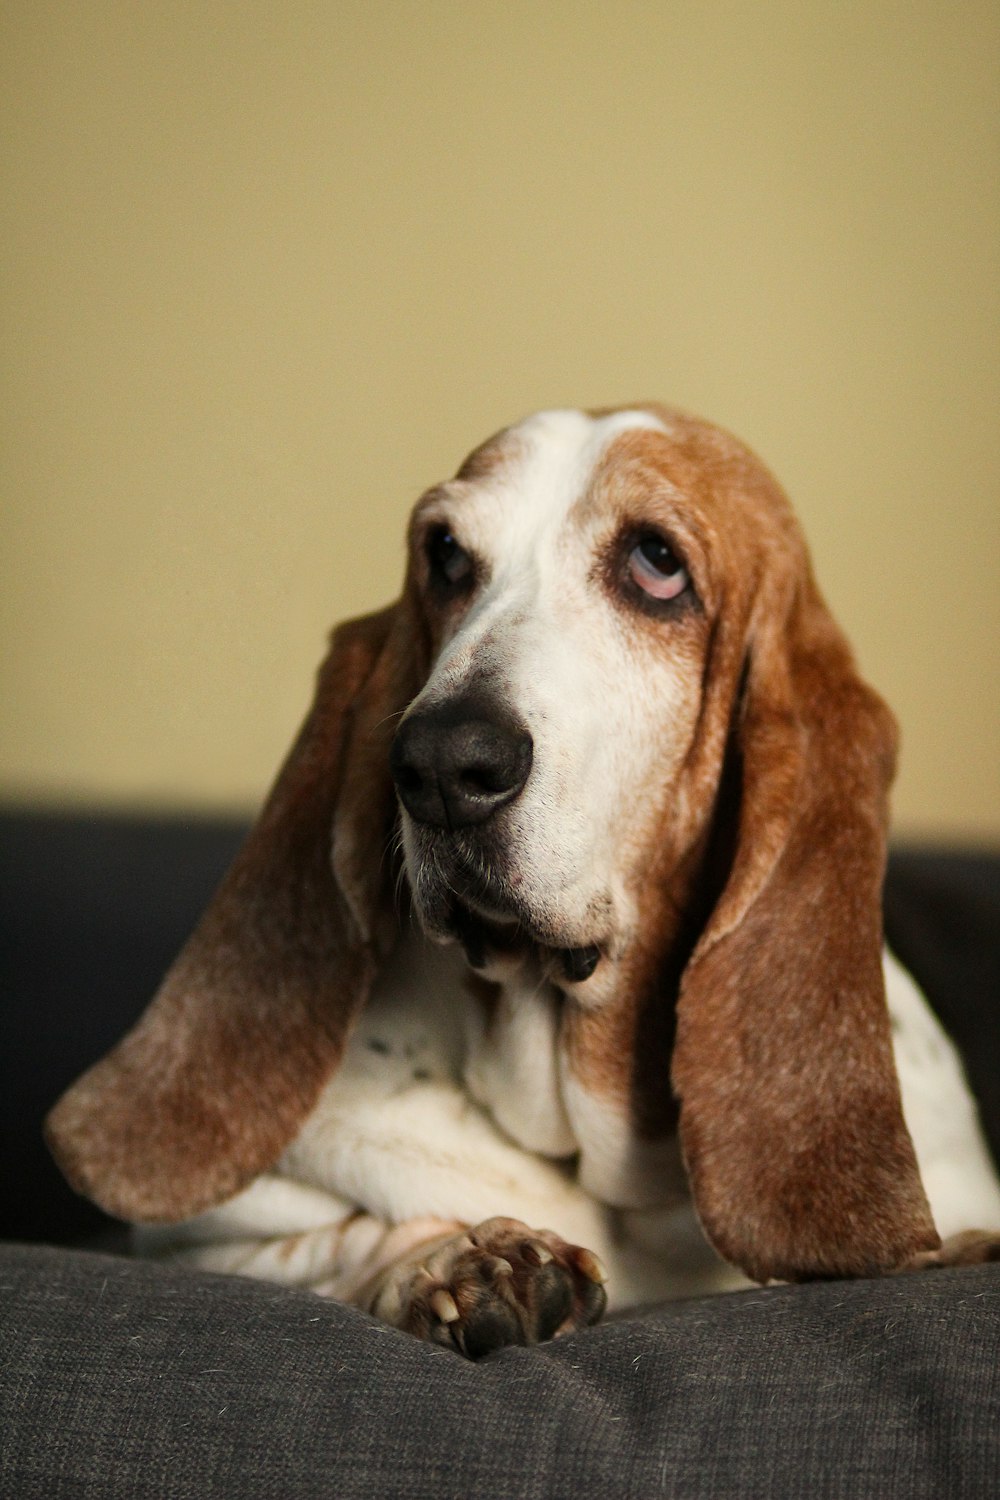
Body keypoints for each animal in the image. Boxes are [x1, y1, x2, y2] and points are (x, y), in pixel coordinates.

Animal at [46, 402, 1000, 1362]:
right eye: (444, 556)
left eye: (658, 562)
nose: (439, 763)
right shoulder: (205, 1236)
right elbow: (337, 1241)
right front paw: (459, 1264)